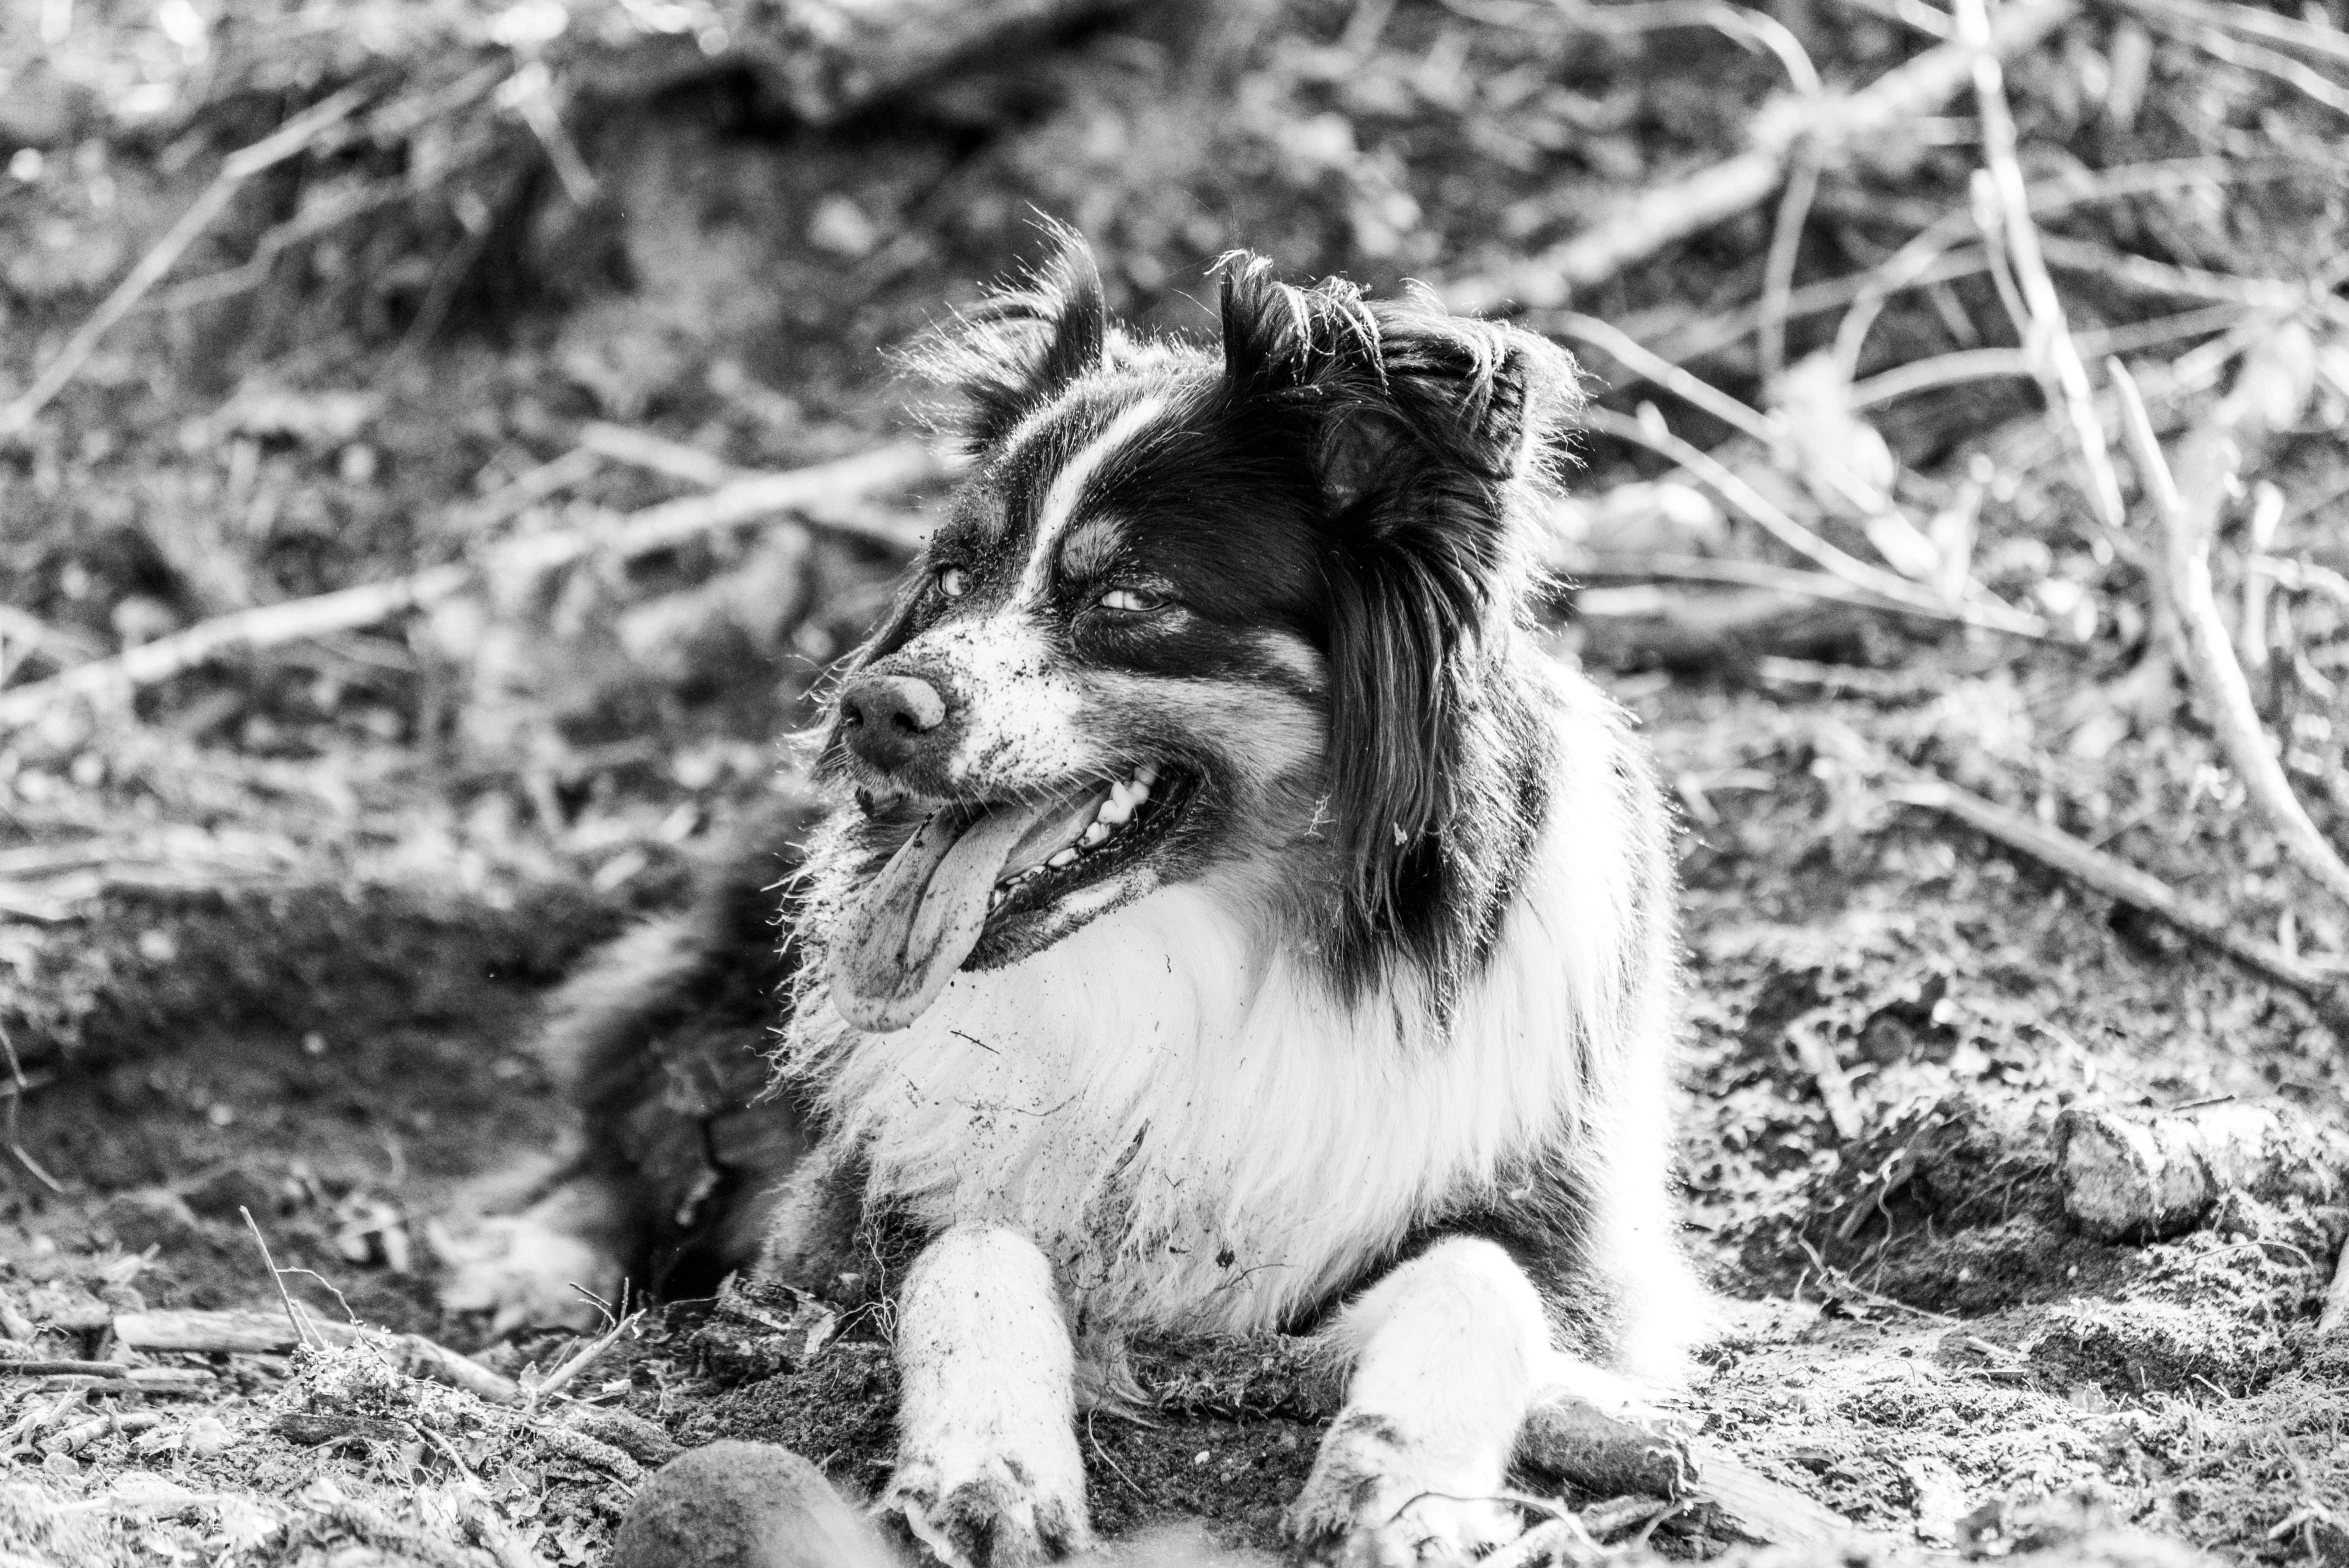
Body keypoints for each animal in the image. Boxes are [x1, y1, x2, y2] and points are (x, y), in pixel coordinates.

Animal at [443, 241, 1691, 1568]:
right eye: (951, 573)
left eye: (1130, 598)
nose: (870, 708)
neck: (1196, 958)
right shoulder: (841, 1216)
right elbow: (974, 1242)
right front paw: (985, 1465)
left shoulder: (1554, 1227)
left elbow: (1479, 1278)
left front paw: (1403, 1484)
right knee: (640, 1092)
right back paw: (531, 1255)